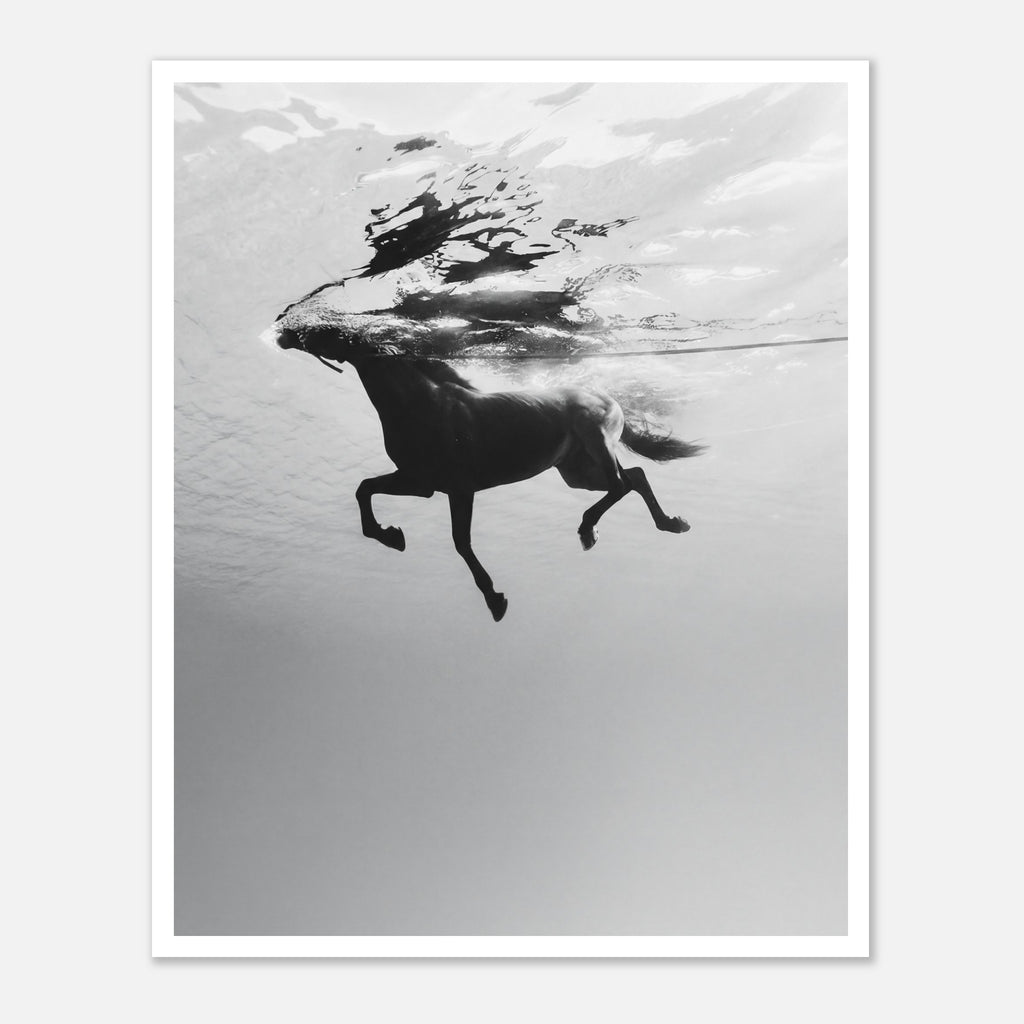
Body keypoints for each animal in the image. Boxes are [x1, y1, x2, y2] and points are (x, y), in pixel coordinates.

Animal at [273, 319, 705, 621]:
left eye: (328, 331)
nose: (284, 334)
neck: (420, 406)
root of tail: (603, 395)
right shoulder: (422, 482)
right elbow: (363, 488)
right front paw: (392, 536)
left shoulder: (459, 488)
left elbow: (460, 543)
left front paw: (495, 600)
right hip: (575, 473)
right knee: (635, 477)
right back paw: (667, 523)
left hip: (596, 446)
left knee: (621, 483)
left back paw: (590, 530)